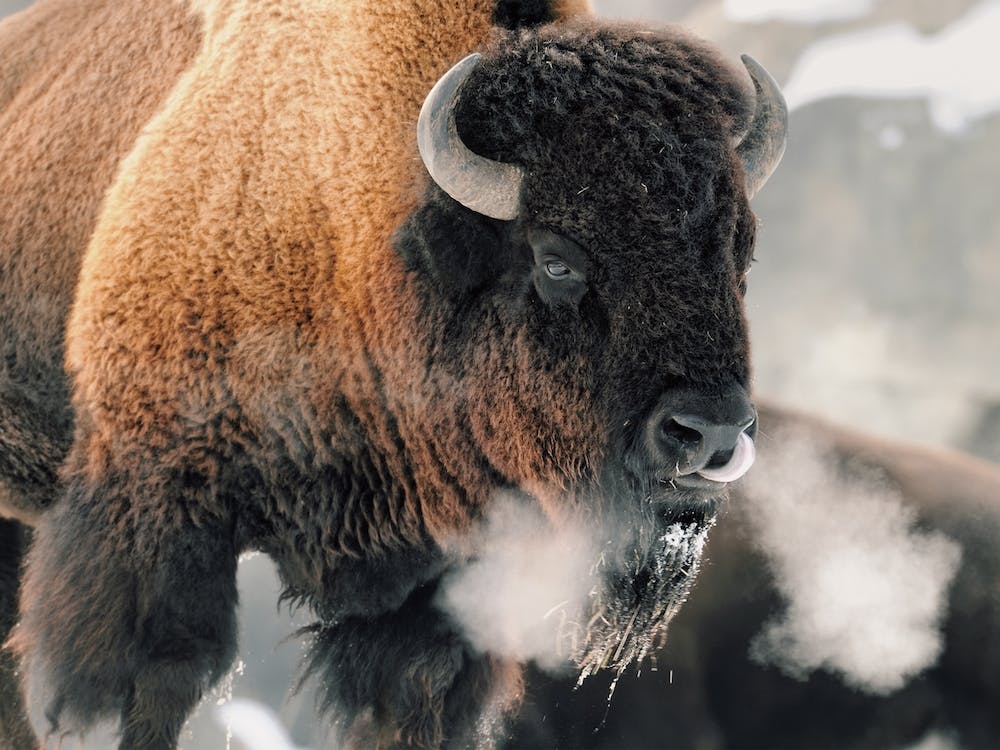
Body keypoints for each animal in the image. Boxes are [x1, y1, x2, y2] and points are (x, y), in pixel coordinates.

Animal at [0, 1, 785, 748]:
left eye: (741, 252)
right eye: (556, 259)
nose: (709, 433)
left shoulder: (437, 595)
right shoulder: (154, 503)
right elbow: (151, 681)